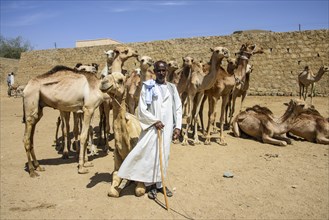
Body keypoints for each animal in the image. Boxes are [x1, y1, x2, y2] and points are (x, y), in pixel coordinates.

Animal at [21, 46, 137, 177]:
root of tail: (26, 88)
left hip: (38, 109)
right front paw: (81, 167)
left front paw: (87, 162)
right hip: (31, 103)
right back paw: (32, 170)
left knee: (31, 137)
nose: (136, 52)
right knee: (27, 138)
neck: (97, 86)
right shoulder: (88, 108)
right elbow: (83, 136)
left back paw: (38, 166)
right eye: (125, 51)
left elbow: (85, 135)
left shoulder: (84, 110)